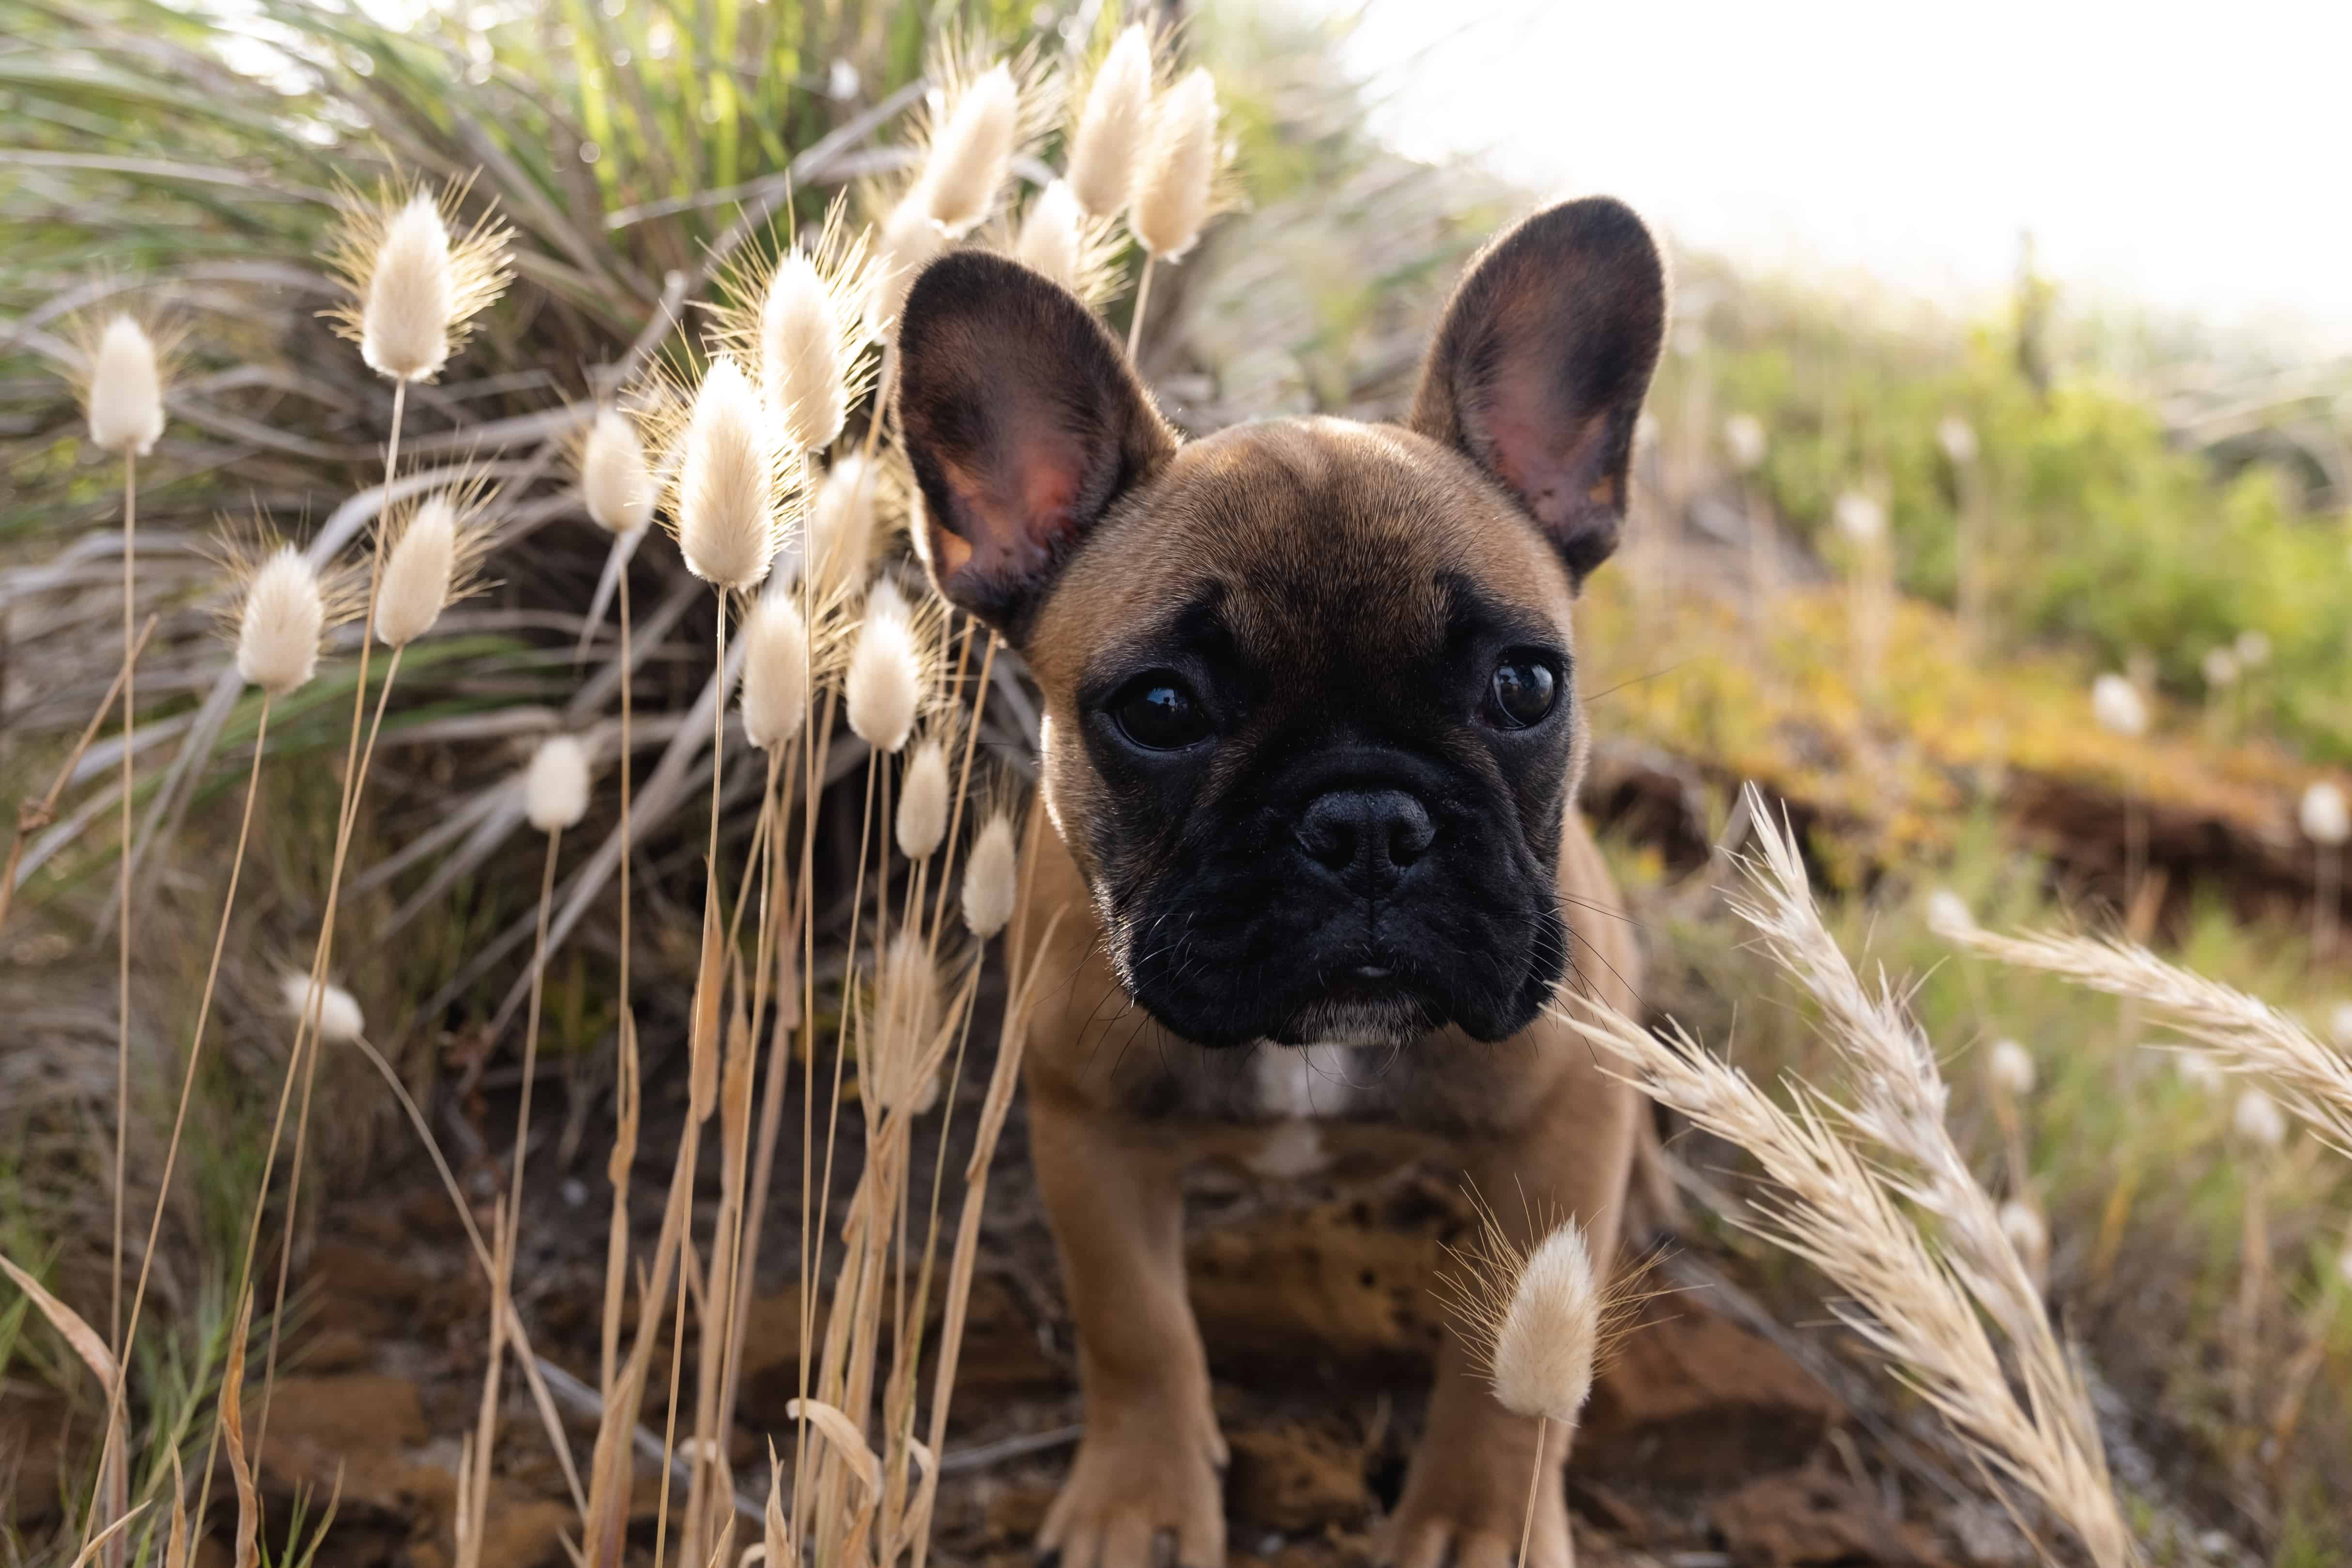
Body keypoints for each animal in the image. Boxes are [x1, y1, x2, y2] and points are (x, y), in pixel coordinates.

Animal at [889, 196, 1665, 1568]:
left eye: (1523, 685)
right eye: (1158, 709)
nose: (1363, 821)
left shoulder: (1558, 1132)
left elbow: (1510, 1376)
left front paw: (1476, 1521)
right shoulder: (1087, 1131)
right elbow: (1134, 1323)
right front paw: (1142, 1501)